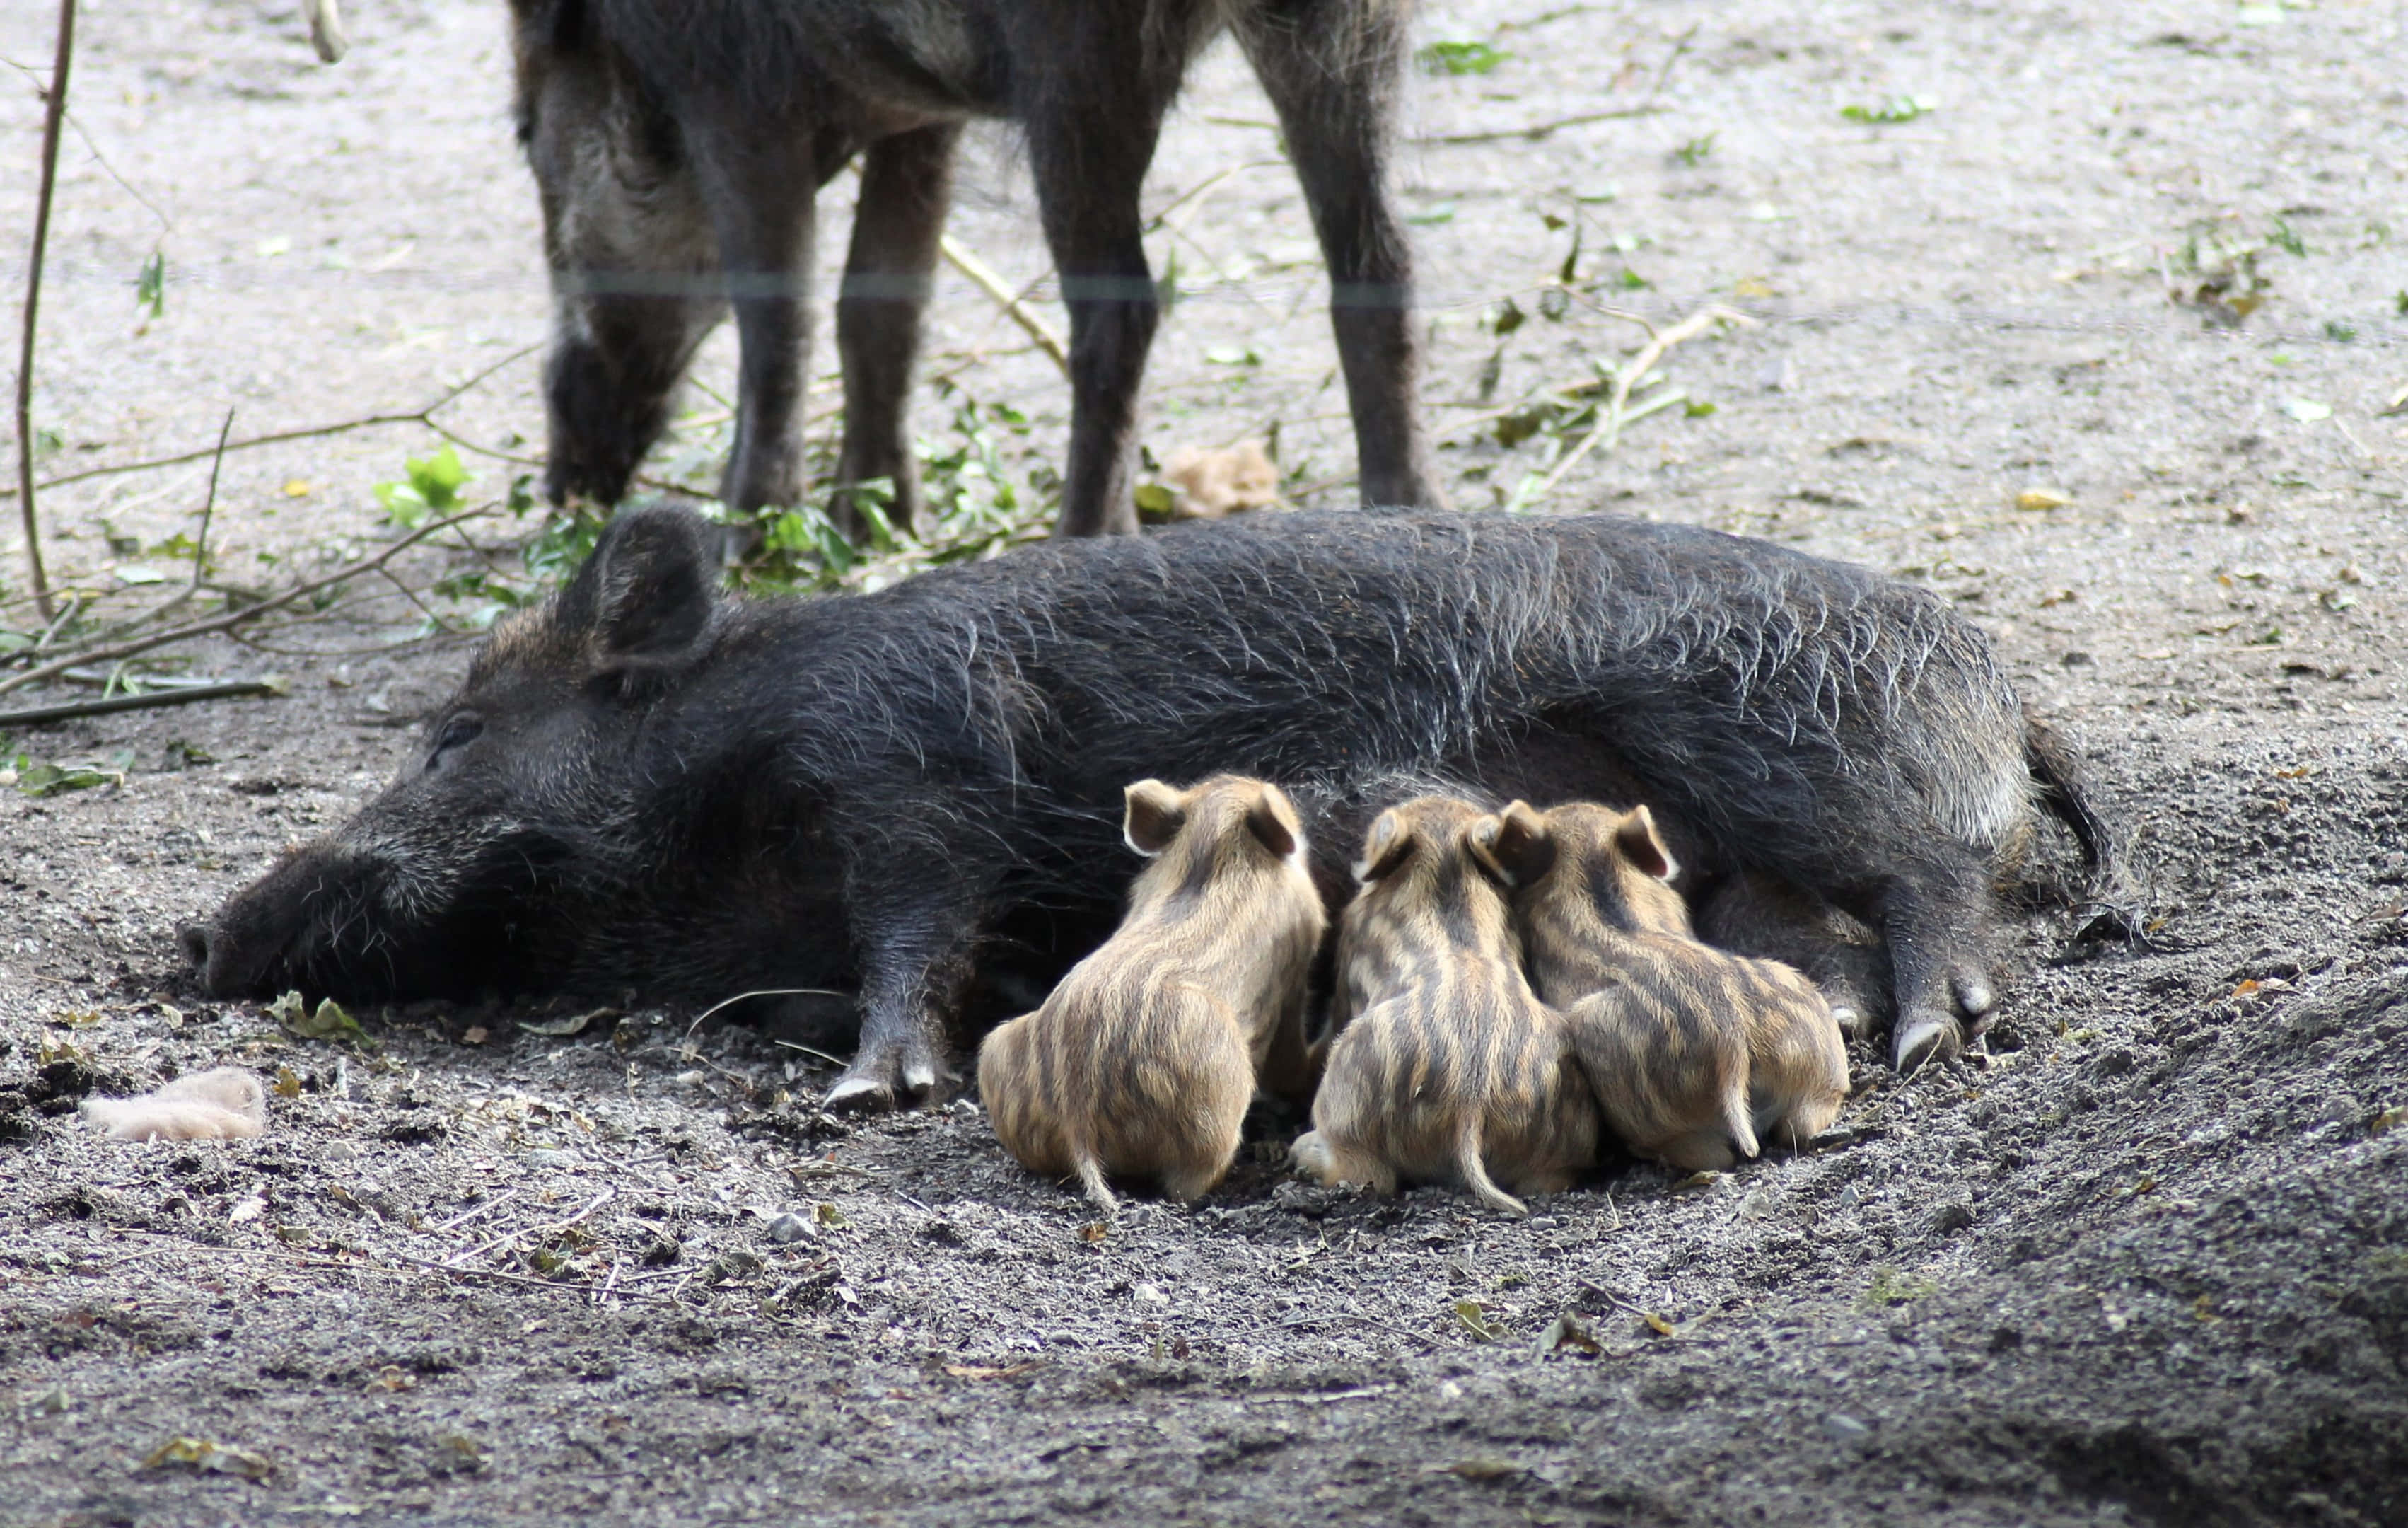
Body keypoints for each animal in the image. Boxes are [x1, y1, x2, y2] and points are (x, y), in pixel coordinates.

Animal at [186, 505, 2118, 1109]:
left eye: (452, 734)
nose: (203, 932)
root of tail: (2004, 680)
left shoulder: (910, 782)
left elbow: (915, 940)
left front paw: (866, 1094)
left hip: (1842, 758)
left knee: (1937, 893)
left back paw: (1934, 1036)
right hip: (1746, 850)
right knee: (1818, 941)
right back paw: (1866, 1029)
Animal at [509, 0, 1439, 538]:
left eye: (522, 135)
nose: (563, 488)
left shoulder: (733, 97)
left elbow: (781, 321)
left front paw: (749, 541)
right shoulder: (921, 117)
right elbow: (883, 304)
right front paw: (878, 528)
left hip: (1076, 70)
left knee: (1121, 311)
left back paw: (1078, 545)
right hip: (1347, 36)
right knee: (1379, 265)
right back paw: (1403, 522)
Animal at [977, 775, 1325, 1210]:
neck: (1214, 850)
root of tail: (1077, 1116)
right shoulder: (1295, 979)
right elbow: (1289, 1062)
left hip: (996, 1050)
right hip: (1216, 1097)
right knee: (1188, 1184)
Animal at [1291, 797, 1598, 1214]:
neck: (1442, 873)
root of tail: (1470, 1102)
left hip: (1346, 1106)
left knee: (1368, 1174)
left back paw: (1299, 1153)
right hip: (1560, 1146)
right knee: (1551, 1179)